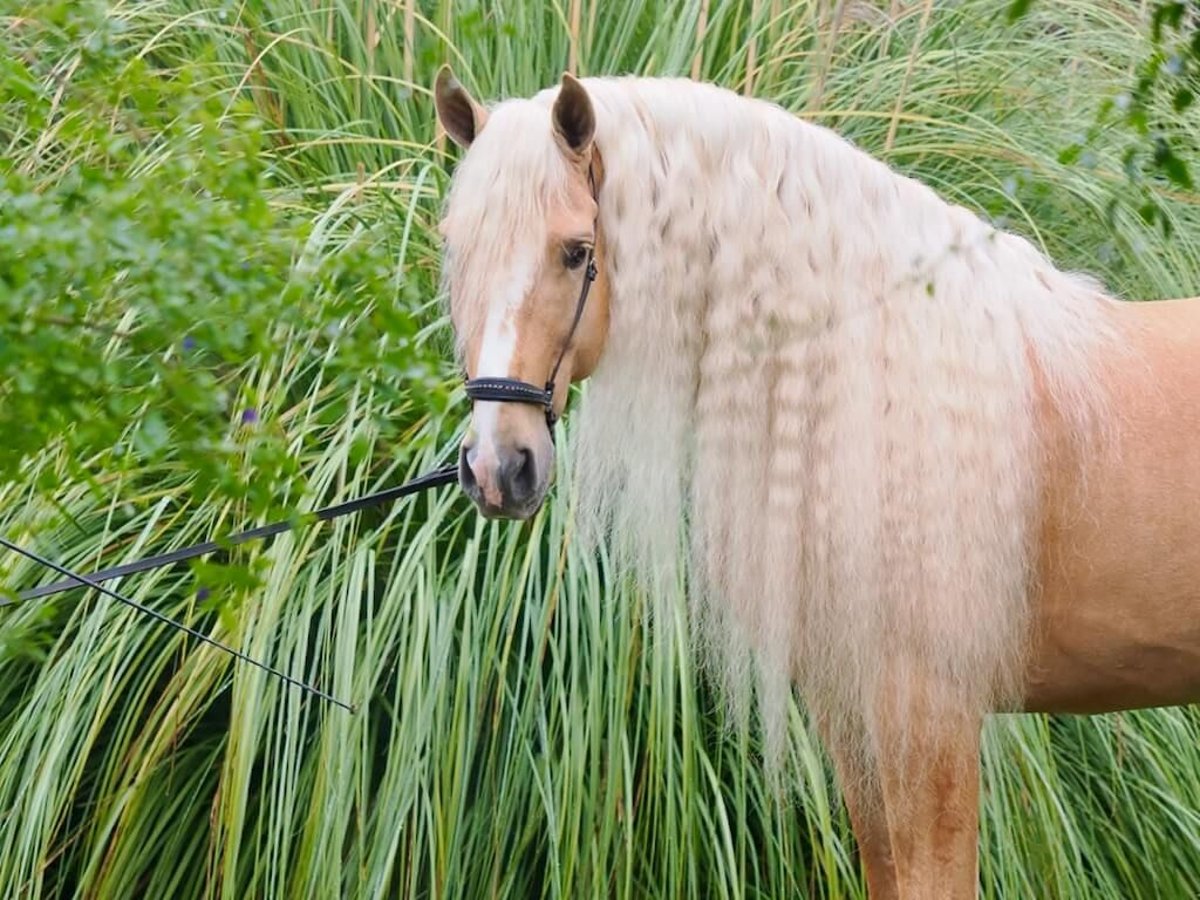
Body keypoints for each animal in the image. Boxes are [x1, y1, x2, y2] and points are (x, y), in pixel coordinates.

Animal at [432, 66, 1200, 897]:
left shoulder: (929, 721)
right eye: (455, 247)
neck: (882, 385)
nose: (497, 467)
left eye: (576, 251)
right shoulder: (851, 713)